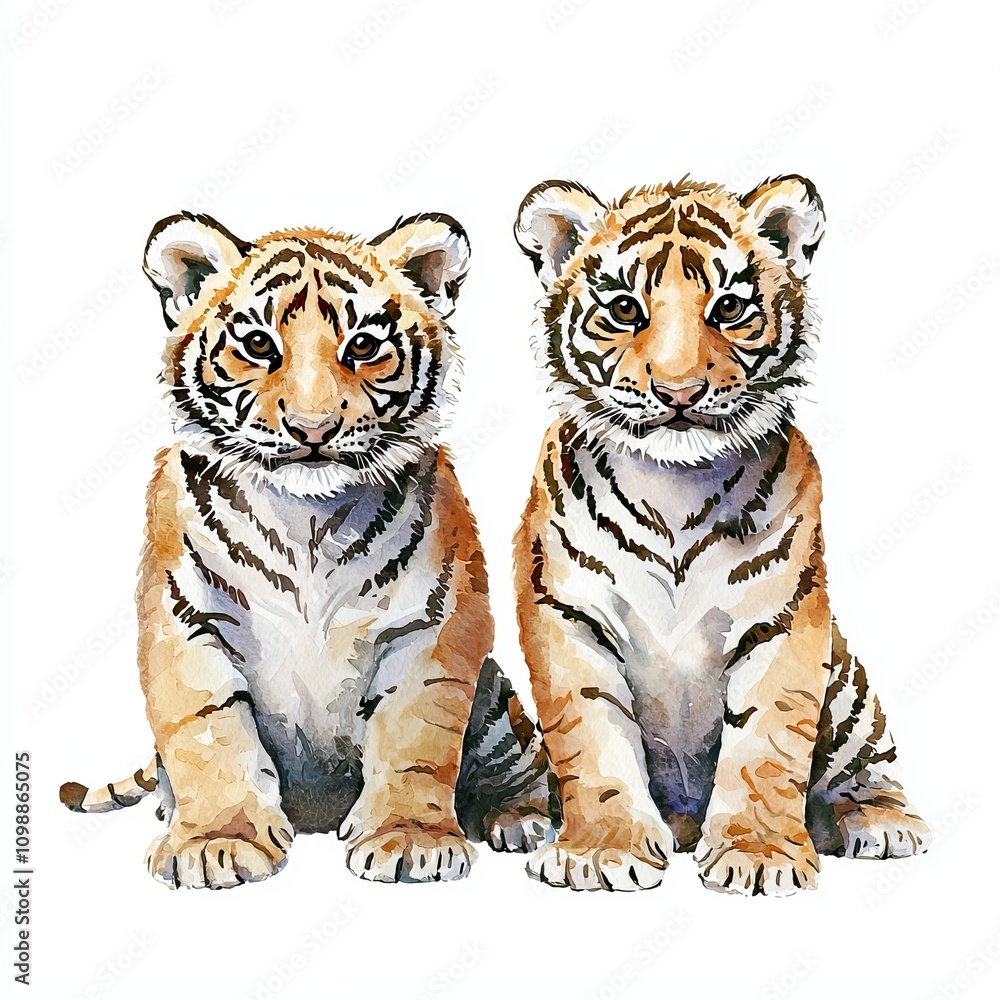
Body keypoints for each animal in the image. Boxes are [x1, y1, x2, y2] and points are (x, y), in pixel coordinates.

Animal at [59, 210, 555, 889]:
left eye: (364, 347)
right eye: (258, 345)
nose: (312, 429)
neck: (308, 523)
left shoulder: (435, 626)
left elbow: (415, 737)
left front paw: (409, 839)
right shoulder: (184, 619)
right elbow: (208, 735)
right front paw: (215, 841)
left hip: (496, 703)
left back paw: (518, 819)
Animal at [511, 176, 929, 895]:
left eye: (729, 307)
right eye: (624, 309)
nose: (680, 391)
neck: (673, 488)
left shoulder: (781, 618)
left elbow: (767, 743)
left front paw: (760, 856)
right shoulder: (566, 612)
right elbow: (592, 737)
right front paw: (601, 851)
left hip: (848, 689)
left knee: (867, 766)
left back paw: (883, 823)